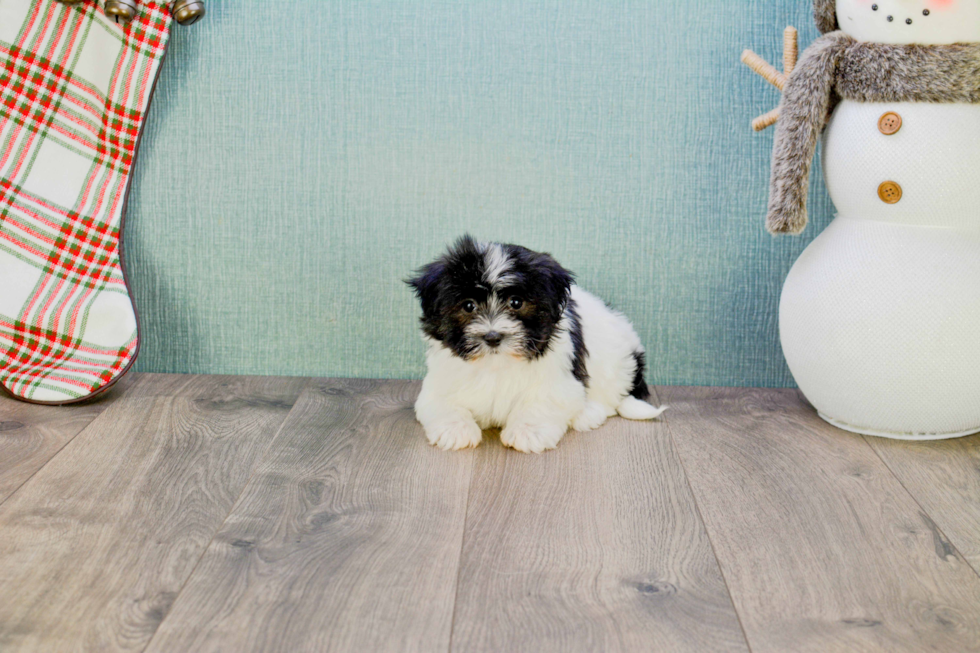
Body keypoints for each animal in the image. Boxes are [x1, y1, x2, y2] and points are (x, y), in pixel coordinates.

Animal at [406, 236, 668, 454]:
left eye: (516, 302)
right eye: (469, 306)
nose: (492, 336)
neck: (496, 365)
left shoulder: (557, 380)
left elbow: (543, 401)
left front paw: (528, 431)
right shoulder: (442, 380)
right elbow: (442, 402)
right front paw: (455, 429)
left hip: (615, 361)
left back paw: (587, 413)